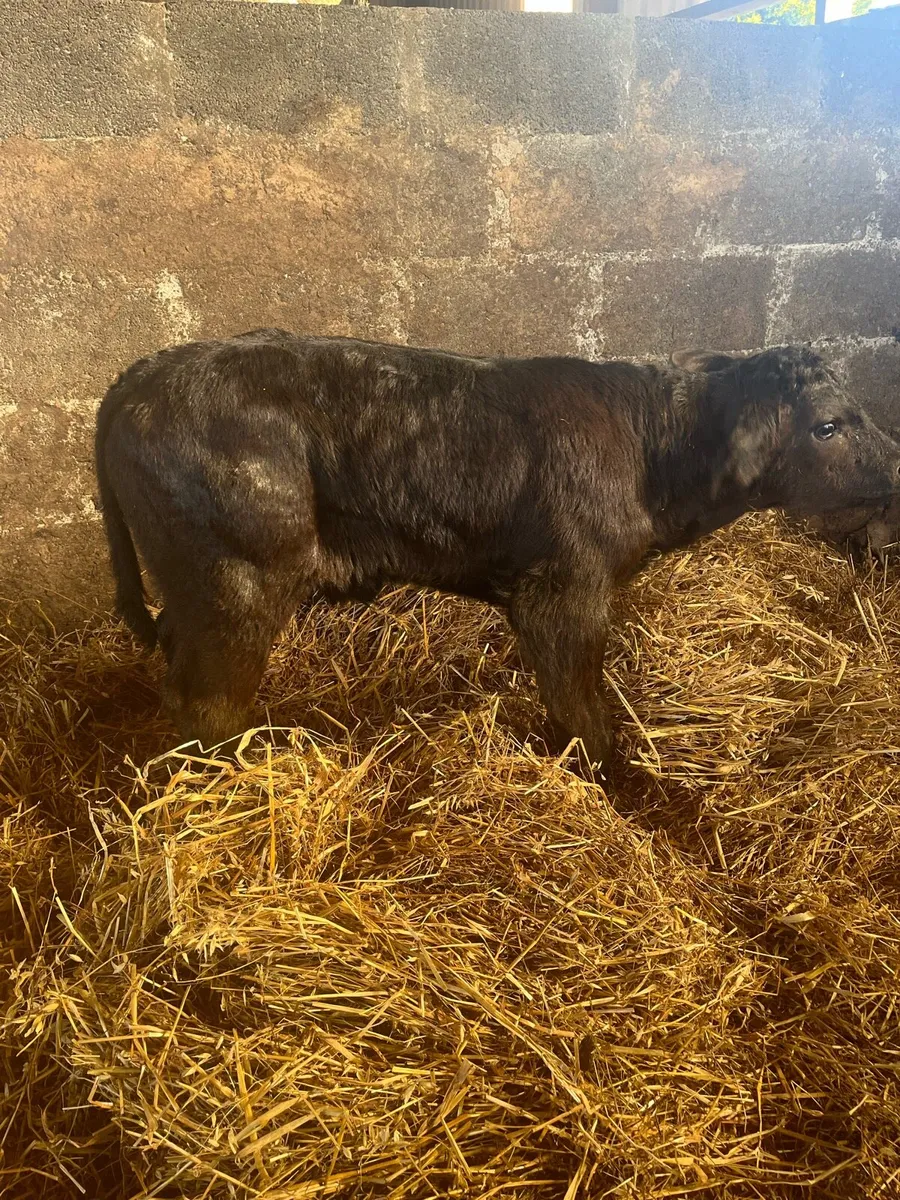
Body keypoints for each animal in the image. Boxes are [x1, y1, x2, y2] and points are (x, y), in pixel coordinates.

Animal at [94, 332, 900, 768]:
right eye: (830, 425)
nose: (896, 463)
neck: (649, 453)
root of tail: (137, 378)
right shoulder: (563, 592)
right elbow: (580, 708)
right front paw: (606, 778)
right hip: (238, 579)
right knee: (208, 704)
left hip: (195, 591)